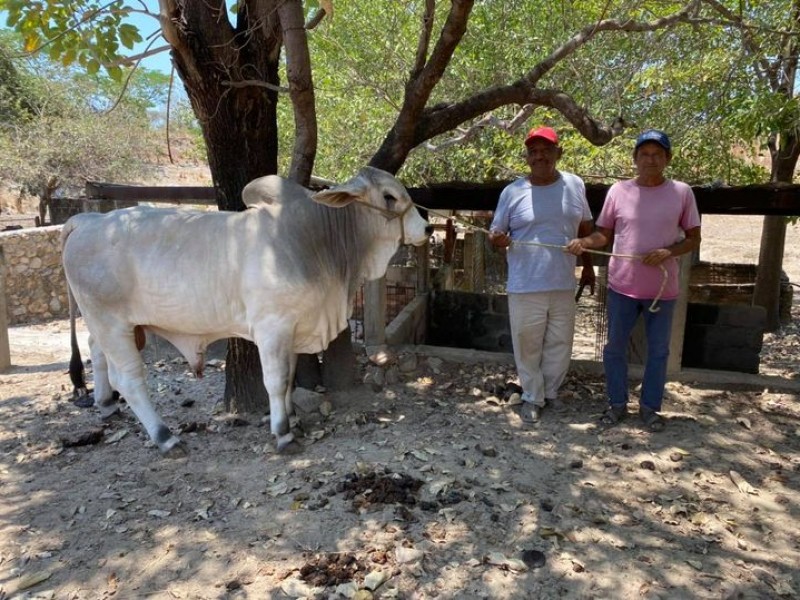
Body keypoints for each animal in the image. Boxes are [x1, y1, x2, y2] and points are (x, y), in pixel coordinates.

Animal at [62, 165, 432, 454]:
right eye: (389, 196)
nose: (427, 228)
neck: (314, 238)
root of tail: (87, 219)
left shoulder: (293, 328)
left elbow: (289, 378)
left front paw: (292, 420)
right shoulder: (272, 327)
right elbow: (276, 380)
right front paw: (283, 434)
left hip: (107, 323)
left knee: (97, 352)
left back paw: (107, 406)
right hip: (111, 321)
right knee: (130, 378)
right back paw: (165, 437)